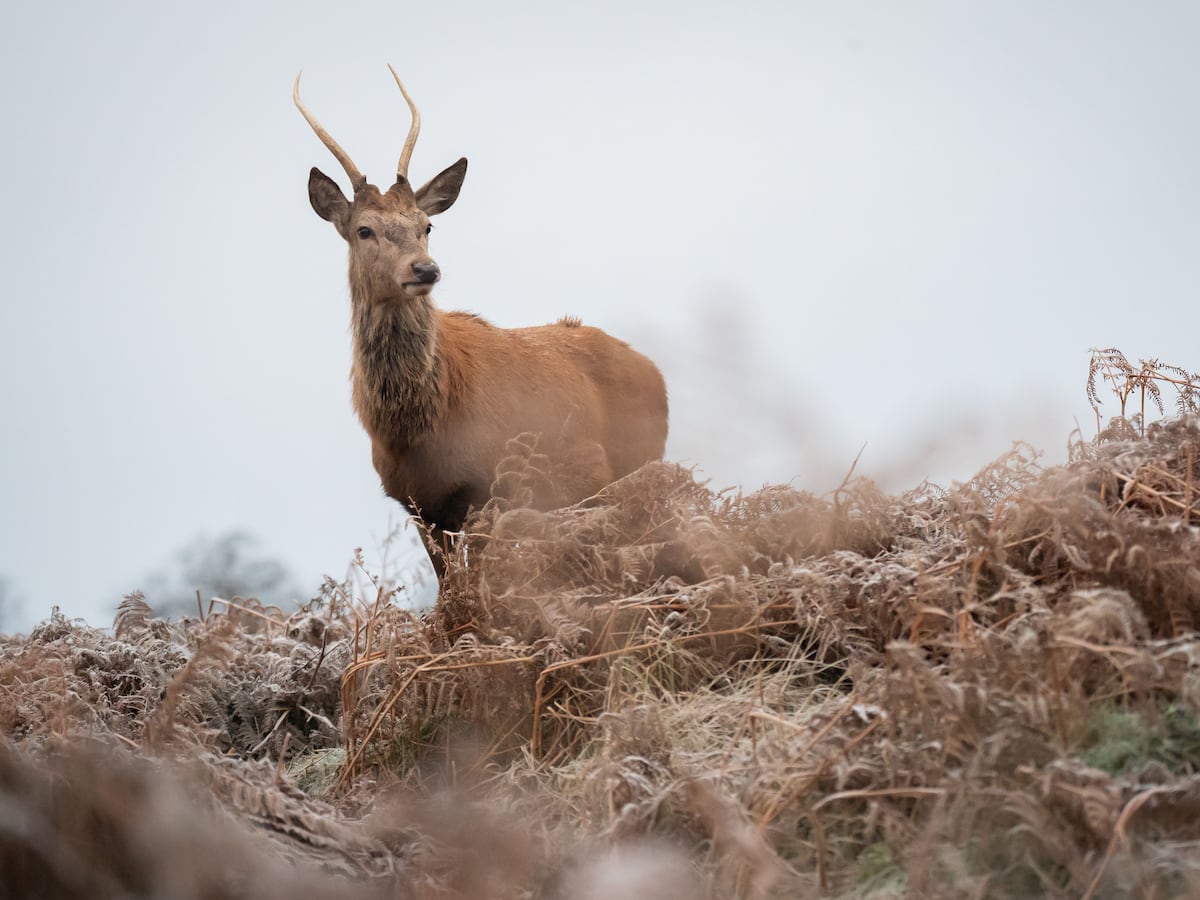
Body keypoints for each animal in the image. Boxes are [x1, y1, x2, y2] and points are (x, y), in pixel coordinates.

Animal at [289, 65, 667, 549]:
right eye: (364, 230)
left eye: (426, 225)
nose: (425, 269)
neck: (414, 431)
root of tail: (657, 374)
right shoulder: (419, 507)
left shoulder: (486, 491)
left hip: (635, 469)